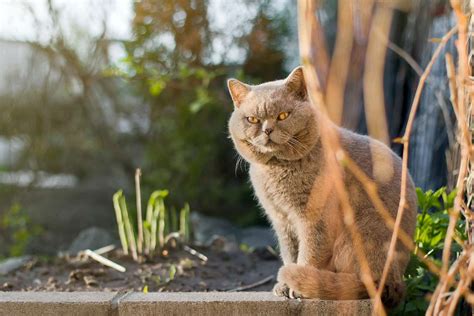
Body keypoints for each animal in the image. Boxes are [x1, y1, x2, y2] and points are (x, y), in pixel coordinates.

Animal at [228, 66, 416, 306]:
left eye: (283, 116)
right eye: (252, 119)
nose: (267, 130)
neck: (276, 170)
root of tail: (397, 281)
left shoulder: (314, 217)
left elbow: (309, 252)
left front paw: (296, 285)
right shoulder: (281, 219)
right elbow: (290, 253)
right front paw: (284, 286)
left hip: (361, 229)